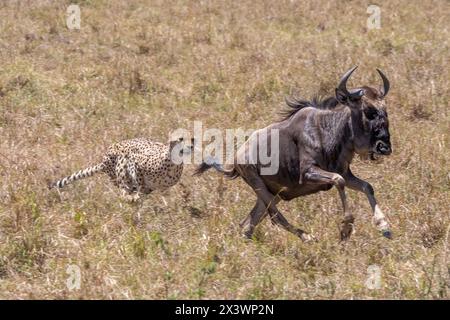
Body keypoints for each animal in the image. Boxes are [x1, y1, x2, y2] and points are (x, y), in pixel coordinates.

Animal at [48, 136, 193, 201]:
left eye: (192, 139)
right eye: (181, 138)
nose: (191, 146)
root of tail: (104, 161)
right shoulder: (136, 162)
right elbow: (140, 183)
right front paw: (135, 197)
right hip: (121, 163)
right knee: (123, 186)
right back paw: (129, 196)